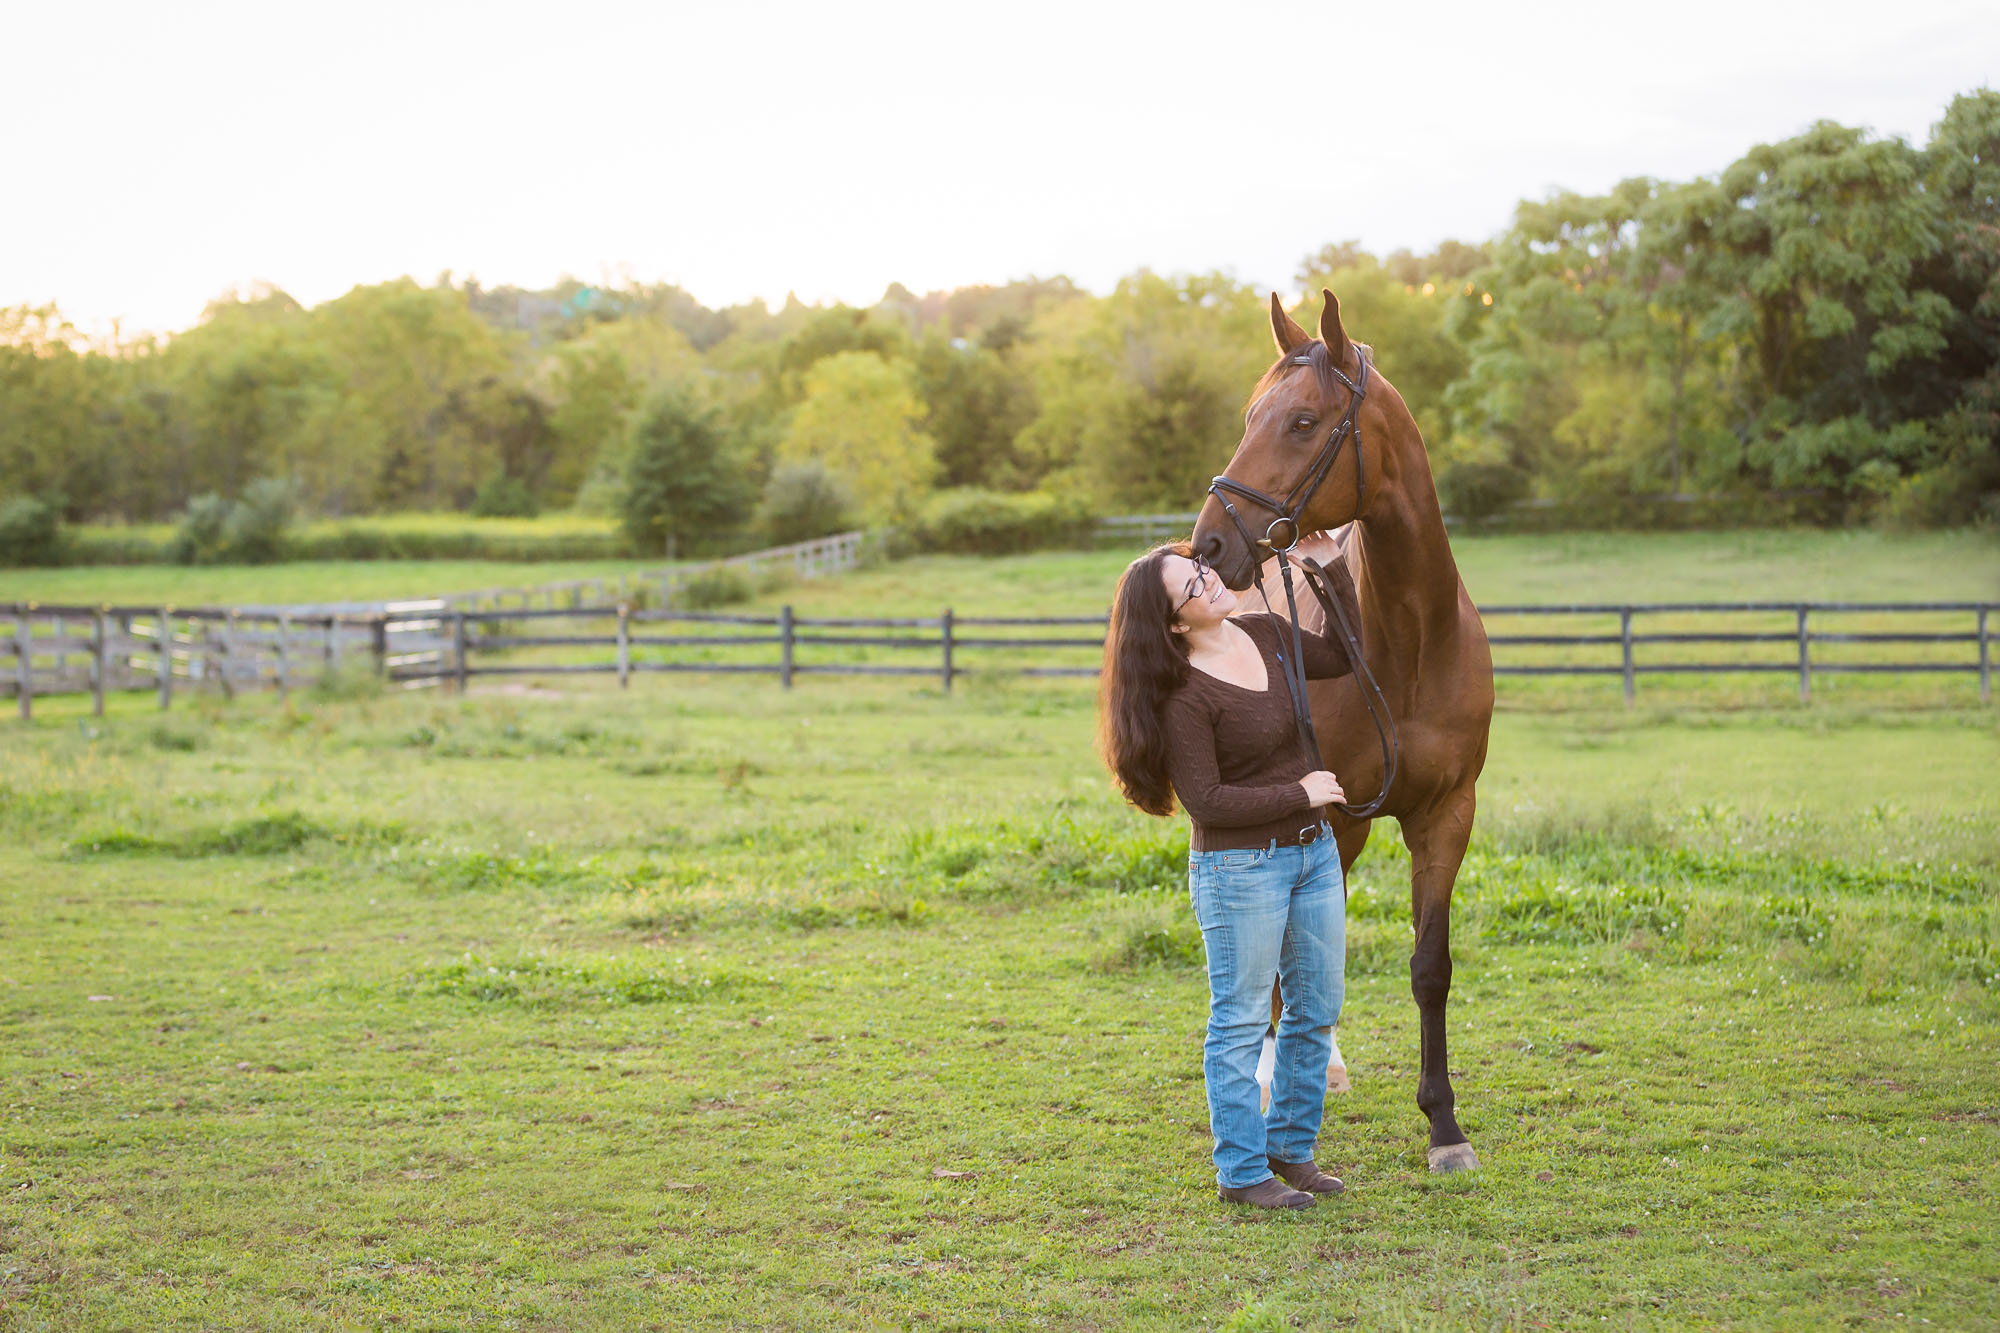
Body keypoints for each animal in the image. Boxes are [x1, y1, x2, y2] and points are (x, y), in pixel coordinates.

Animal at [1192, 290, 1495, 1174]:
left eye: (1302, 421)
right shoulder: (1324, 812)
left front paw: (1444, 1126)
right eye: (1251, 415)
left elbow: (1430, 966)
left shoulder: (1446, 816)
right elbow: (1289, 955)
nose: (1210, 542)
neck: (1409, 646)